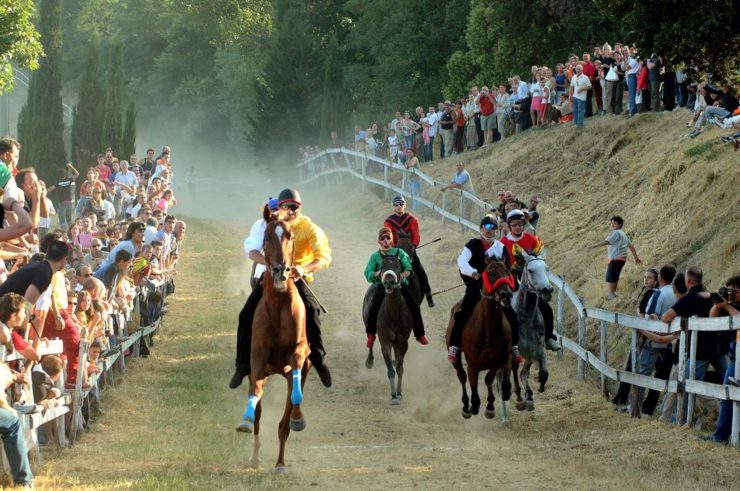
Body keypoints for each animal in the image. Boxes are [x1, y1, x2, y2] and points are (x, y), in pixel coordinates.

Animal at [234, 206, 310, 474]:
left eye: (290, 235)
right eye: (266, 237)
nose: (280, 271)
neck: (277, 307)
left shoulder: (299, 352)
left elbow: (296, 371)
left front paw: (298, 417)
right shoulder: (257, 359)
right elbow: (255, 393)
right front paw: (245, 420)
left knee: (285, 422)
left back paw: (280, 459)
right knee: (258, 411)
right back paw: (255, 456)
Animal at [362, 252, 414, 406]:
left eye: (397, 265)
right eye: (382, 266)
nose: (389, 282)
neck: (393, 315)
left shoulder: (402, 342)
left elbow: (400, 368)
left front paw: (399, 393)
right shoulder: (385, 341)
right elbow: (391, 370)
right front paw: (393, 396)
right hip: (368, 324)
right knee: (371, 340)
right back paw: (369, 361)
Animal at [446, 260, 516, 424]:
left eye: (507, 271)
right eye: (490, 273)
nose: (506, 295)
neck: (489, 333)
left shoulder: (499, 359)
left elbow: (489, 378)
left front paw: (490, 407)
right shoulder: (473, 365)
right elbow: (472, 383)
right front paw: (474, 404)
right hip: (455, 356)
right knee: (461, 376)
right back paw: (466, 407)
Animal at [512, 254, 552, 412]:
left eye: (546, 268)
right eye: (530, 270)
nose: (547, 290)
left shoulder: (537, 350)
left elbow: (544, 373)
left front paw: (540, 388)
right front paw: (519, 401)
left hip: (528, 356)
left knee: (524, 374)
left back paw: (529, 395)